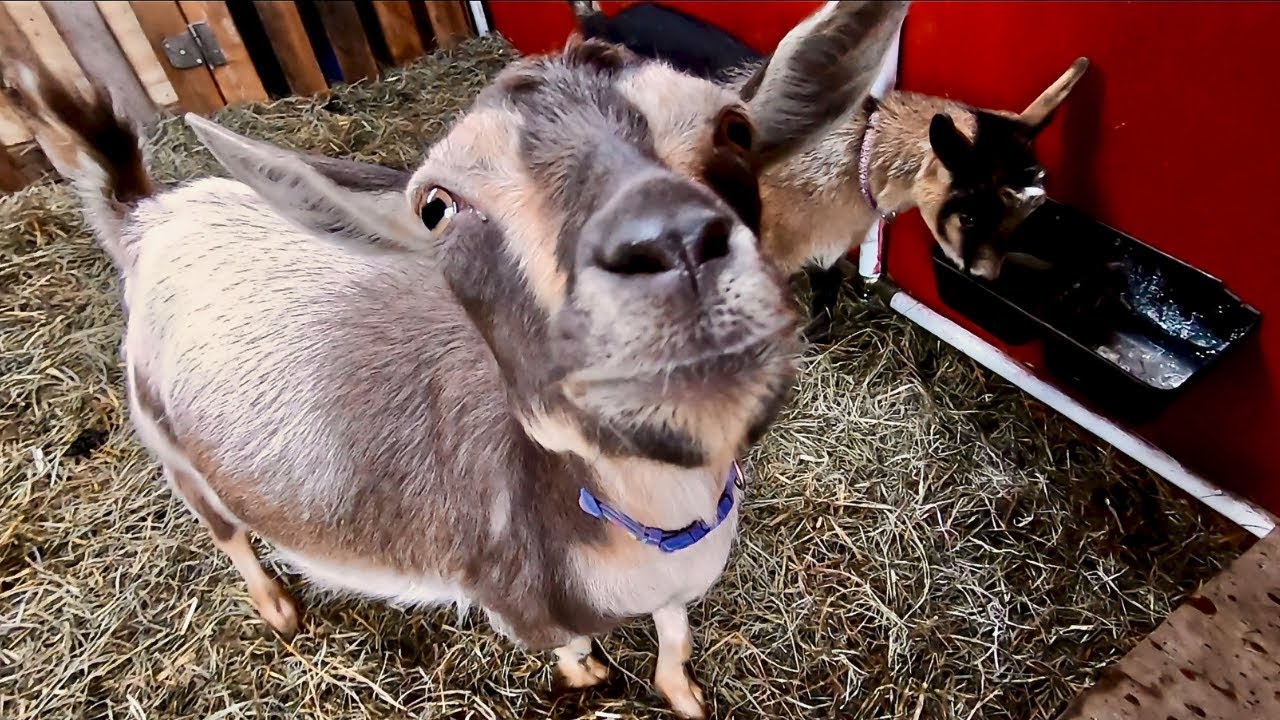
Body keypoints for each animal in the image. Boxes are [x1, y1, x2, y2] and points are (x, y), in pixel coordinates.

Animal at [2, 2, 906, 716]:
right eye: (437, 206)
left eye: (734, 128)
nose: (670, 244)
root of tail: (146, 216)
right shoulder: (513, 598)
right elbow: (567, 647)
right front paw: (588, 676)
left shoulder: (679, 584)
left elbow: (677, 645)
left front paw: (684, 698)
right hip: (168, 441)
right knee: (225, 529)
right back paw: (277, 608)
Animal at [574, 2, 1088, 338]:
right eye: (969, 213)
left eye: (1030, 212)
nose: (986, 273)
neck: (851, 154)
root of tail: (599, 20)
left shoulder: (828, 245)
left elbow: (827, 291)